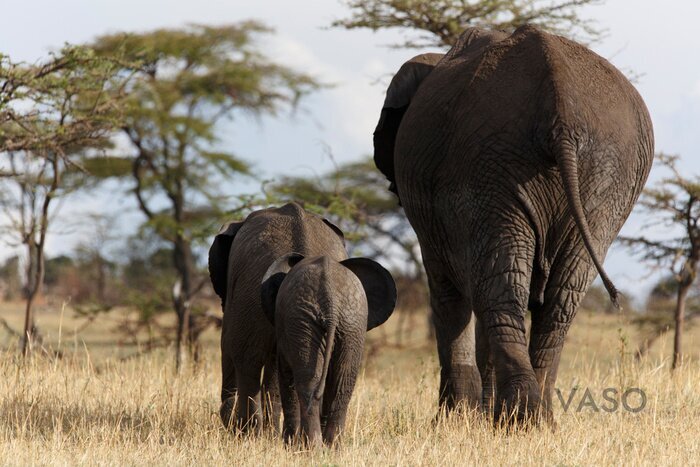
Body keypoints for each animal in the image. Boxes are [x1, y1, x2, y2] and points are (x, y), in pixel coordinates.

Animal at [260, 252, 396, 446]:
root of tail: (330, 299)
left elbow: (286, 377)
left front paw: (289, 444)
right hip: (350, 323)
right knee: (341, 383)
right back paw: (331, 447)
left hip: (306, 321)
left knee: (309, 382)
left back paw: (312, 447)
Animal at [374, 23, 652, 422]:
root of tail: (560, 107)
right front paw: (475, 417)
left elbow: (448, 292)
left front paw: (454, 420)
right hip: (598, 178)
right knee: (553, 297)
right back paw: (535, 420)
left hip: (491, 165)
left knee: (500, 291)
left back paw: (519, 419)